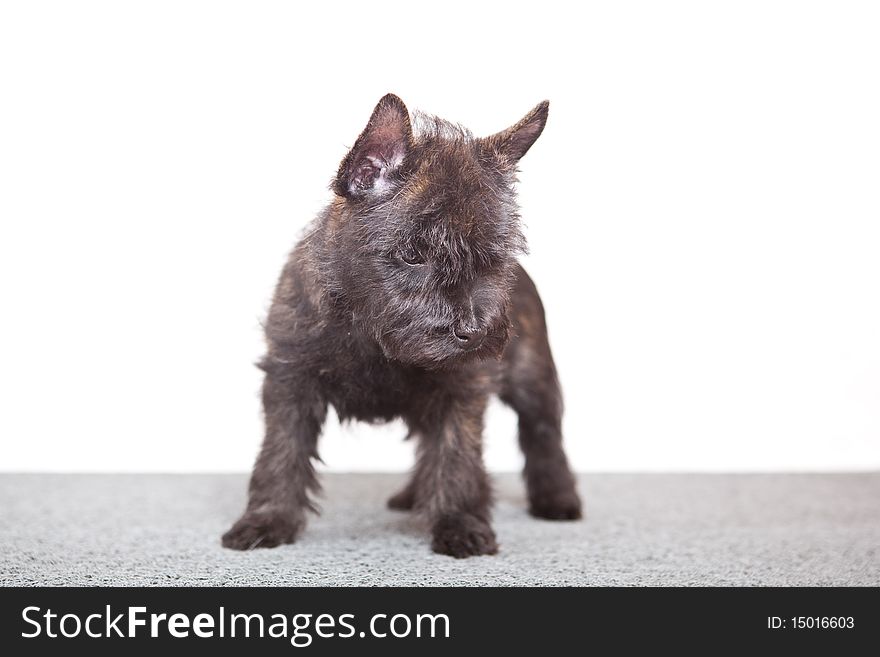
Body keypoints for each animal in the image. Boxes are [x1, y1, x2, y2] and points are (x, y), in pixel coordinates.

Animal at [220, 93, 580, 552]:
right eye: (412, 254)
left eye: (492, 258)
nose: (473, 332)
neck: (370, 335)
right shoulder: (291, 381)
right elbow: (280, 452)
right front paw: (267, 519)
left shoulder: (461, 389)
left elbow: (457, 454)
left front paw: (460, 523)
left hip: (533, 377)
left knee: (543, 433)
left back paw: (558, 499)